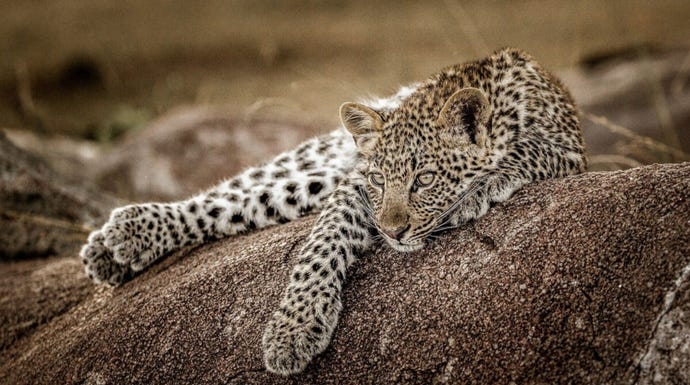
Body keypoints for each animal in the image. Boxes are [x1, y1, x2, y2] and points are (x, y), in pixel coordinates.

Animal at [80, 48, 584, 376]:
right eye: (379, 180)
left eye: (424, 179)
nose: (392, 232)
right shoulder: (352, 188)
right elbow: (320, 246)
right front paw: (294, 328)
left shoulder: (571, 153)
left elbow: (529, 150)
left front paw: (480, 188)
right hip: (316, 166)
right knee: (230, 196)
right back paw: (120, 237)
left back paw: (116, 248)